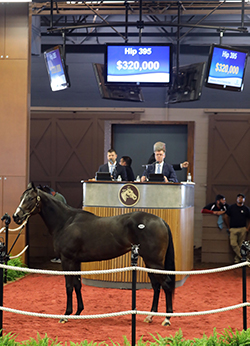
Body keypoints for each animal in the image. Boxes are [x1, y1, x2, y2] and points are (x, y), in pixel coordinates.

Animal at [12, 182, 175, 326]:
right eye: (21, 197)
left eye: (30, 198)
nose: (16, 216)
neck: (65, 222)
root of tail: (161, 220)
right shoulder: (75, 261)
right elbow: (77, 285)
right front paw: (78, 312)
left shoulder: (67, 260)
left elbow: (69, 286)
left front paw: (66, 315)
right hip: (148, 262)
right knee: (156, 286)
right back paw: (150, 316)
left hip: (154, 262)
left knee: (166, 284)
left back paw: (167, 319)